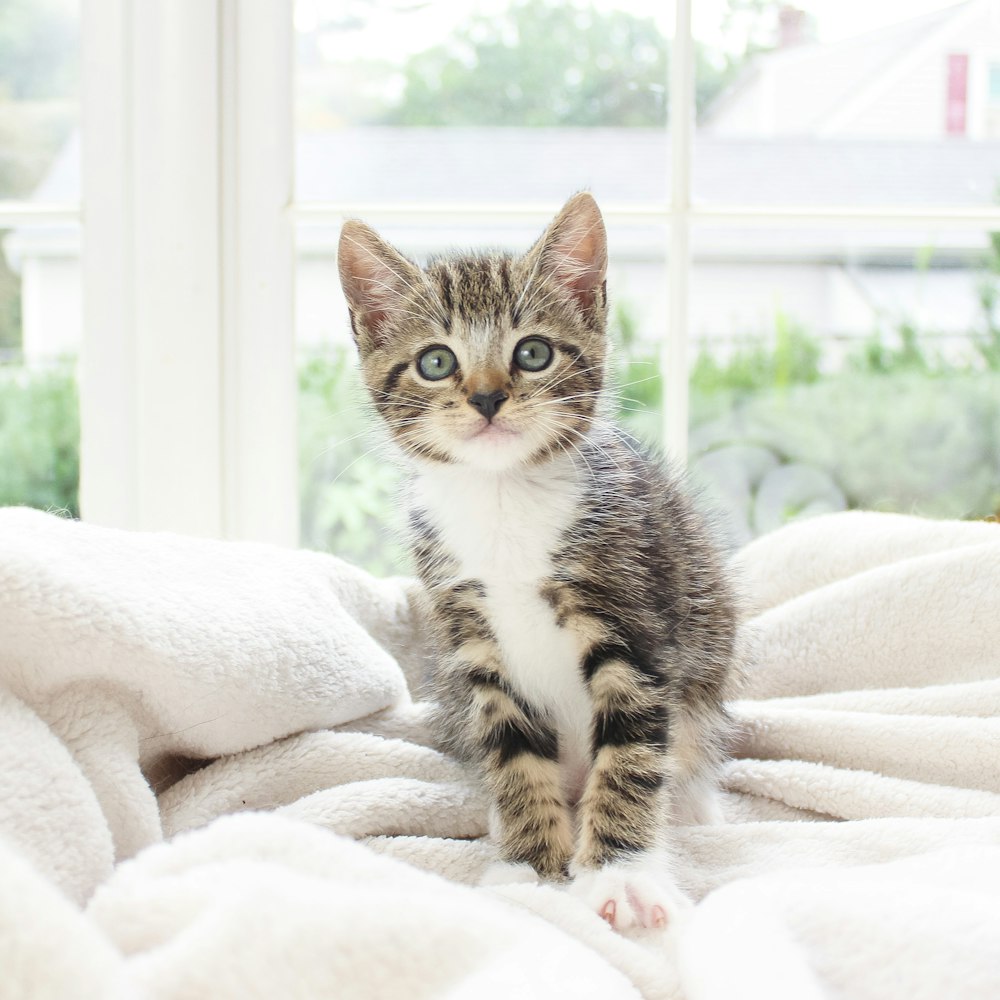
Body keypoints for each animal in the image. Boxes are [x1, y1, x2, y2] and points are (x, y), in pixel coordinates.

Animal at [340, 193, 740, 928]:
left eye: (532, 352)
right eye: (435, 362)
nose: (487, 397)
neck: (504, 501)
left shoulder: (633, 614)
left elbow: (630, 756)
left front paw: (620, 875)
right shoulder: (473, 638)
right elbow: (514, 755)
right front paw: (529, 868)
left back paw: (691, 804)